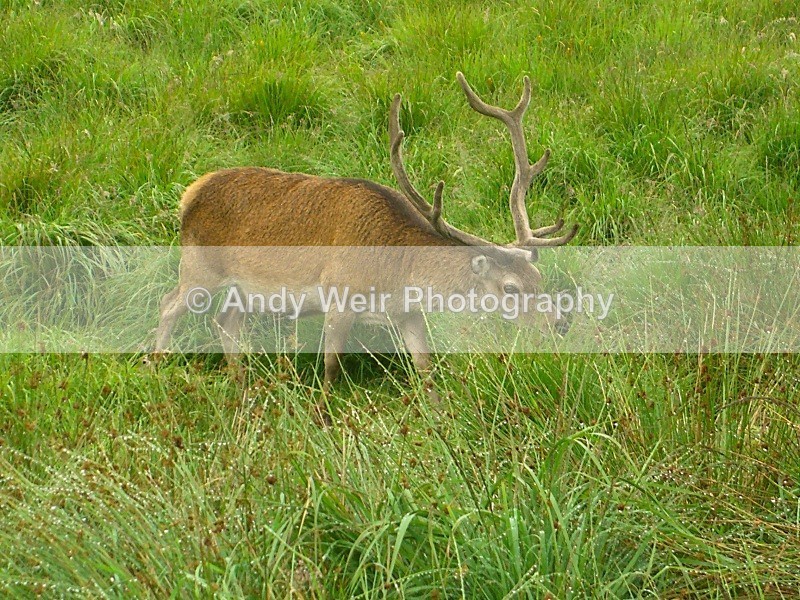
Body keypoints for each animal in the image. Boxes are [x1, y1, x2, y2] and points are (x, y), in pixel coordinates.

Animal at [154, 72, 578, 391]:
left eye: (539, 277)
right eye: (511, 288)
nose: (559, 323)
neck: (395, 271)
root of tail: (190, 194)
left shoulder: (408, 313)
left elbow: (425, 367)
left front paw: (438, 418)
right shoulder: (339, 296)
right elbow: (330, 368)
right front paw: (323, 415)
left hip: (245, 290)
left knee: (225, 321)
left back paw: (239, 381)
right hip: (200, 267)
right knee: (170, 304)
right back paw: (156, 364)